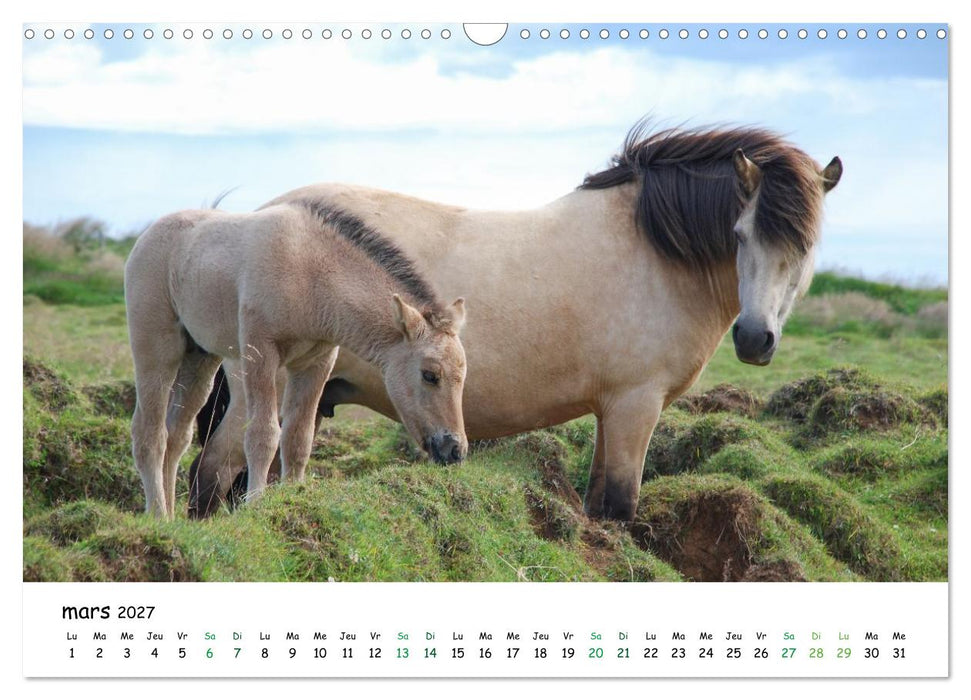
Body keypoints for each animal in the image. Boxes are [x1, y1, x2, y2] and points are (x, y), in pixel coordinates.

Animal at [124, 203, 469, 518]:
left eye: (461, 378)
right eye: (429, 375)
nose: (456, 450)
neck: (309, 272)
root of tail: (144, 238)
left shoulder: (316, 362)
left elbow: (298, 438)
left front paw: (294, 497)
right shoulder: (261, 353)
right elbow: (263, 435)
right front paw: (256, 507)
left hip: (200, 360)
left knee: (177, 436)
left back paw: (172, 520)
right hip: (156, 350)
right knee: (149, 433)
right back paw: (157, 517)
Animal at [188, 123, 842, 520]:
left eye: (807, 247)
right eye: (739, 235)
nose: (756, 339)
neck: (652, 251)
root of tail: (252, 223)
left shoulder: (612, 412)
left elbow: (597, 504)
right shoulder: (636, 406)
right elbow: (617, 510)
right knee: (214, 475)